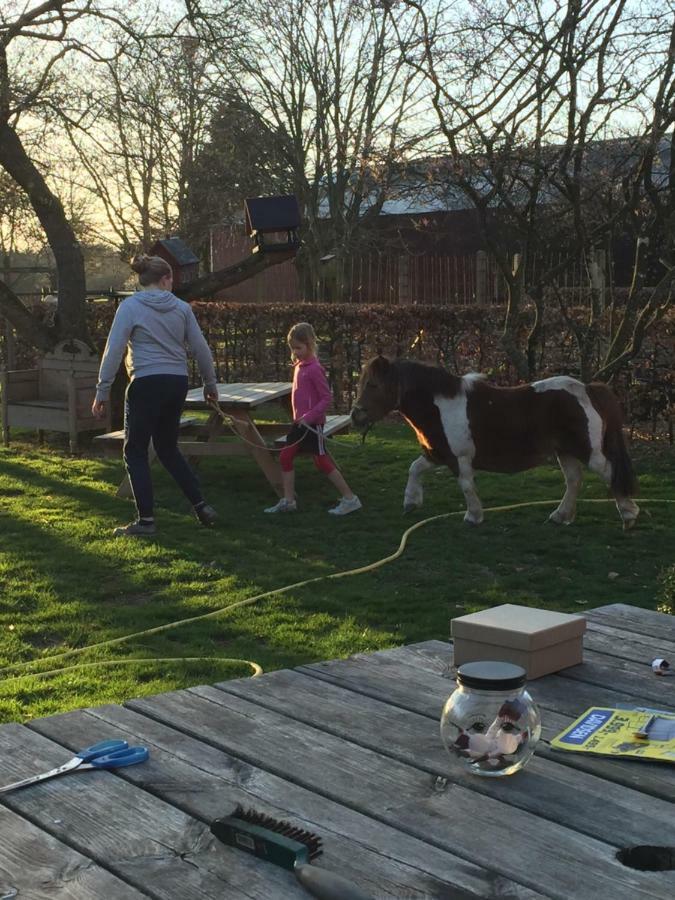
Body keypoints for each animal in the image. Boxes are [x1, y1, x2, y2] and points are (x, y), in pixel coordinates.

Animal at [352, 356, 640, 532]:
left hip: (589, 452)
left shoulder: (459, 459)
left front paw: (473, 516)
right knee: (574, 481)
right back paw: (561, 516)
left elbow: (466, 486)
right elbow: (414, 468)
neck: (442, 406)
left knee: (610, 473)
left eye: (373, 384)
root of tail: (588, 389)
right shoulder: (438, 454)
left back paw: (628, 515)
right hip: (565, 451)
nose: (356, 416)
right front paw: (411, 502)